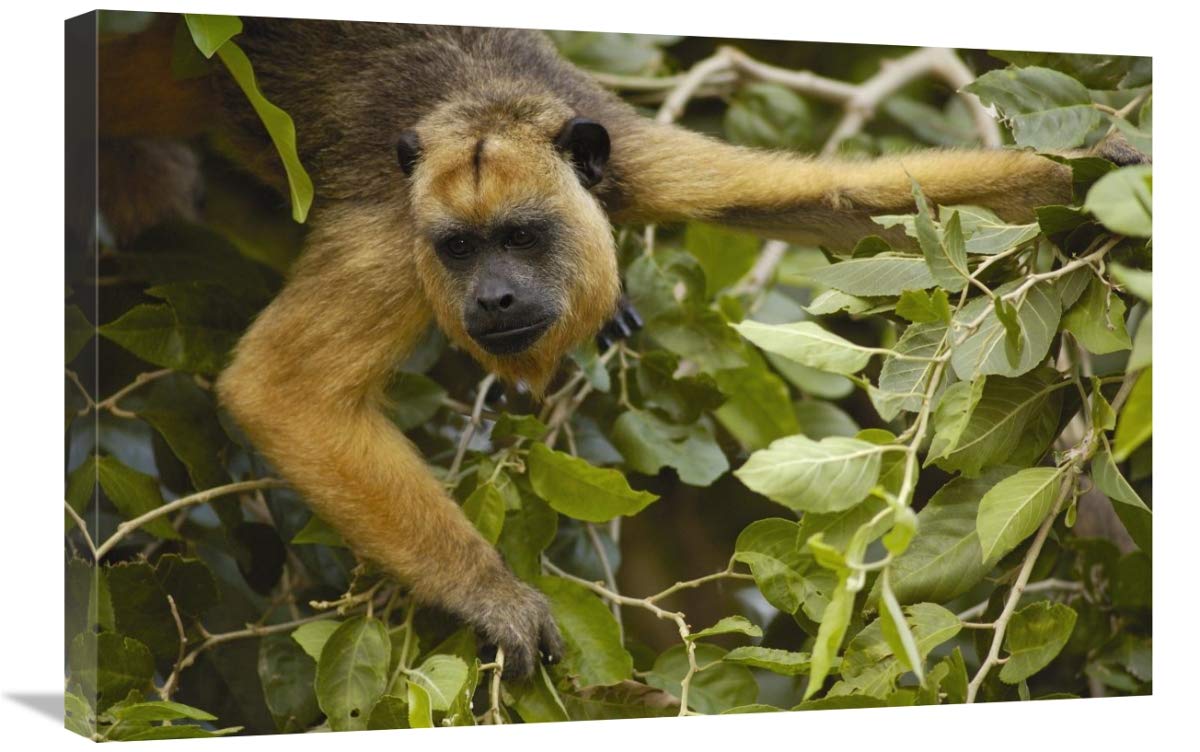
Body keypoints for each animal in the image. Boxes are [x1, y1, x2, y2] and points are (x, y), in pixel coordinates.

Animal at [95, 17, 1124, 679]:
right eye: (459, 249)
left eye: (522, 236)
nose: (492, 296)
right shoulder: (395, 235)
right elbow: (282, 390)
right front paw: (490, 597)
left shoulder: (627, 160)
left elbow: (832, 201)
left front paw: (1103, 175)